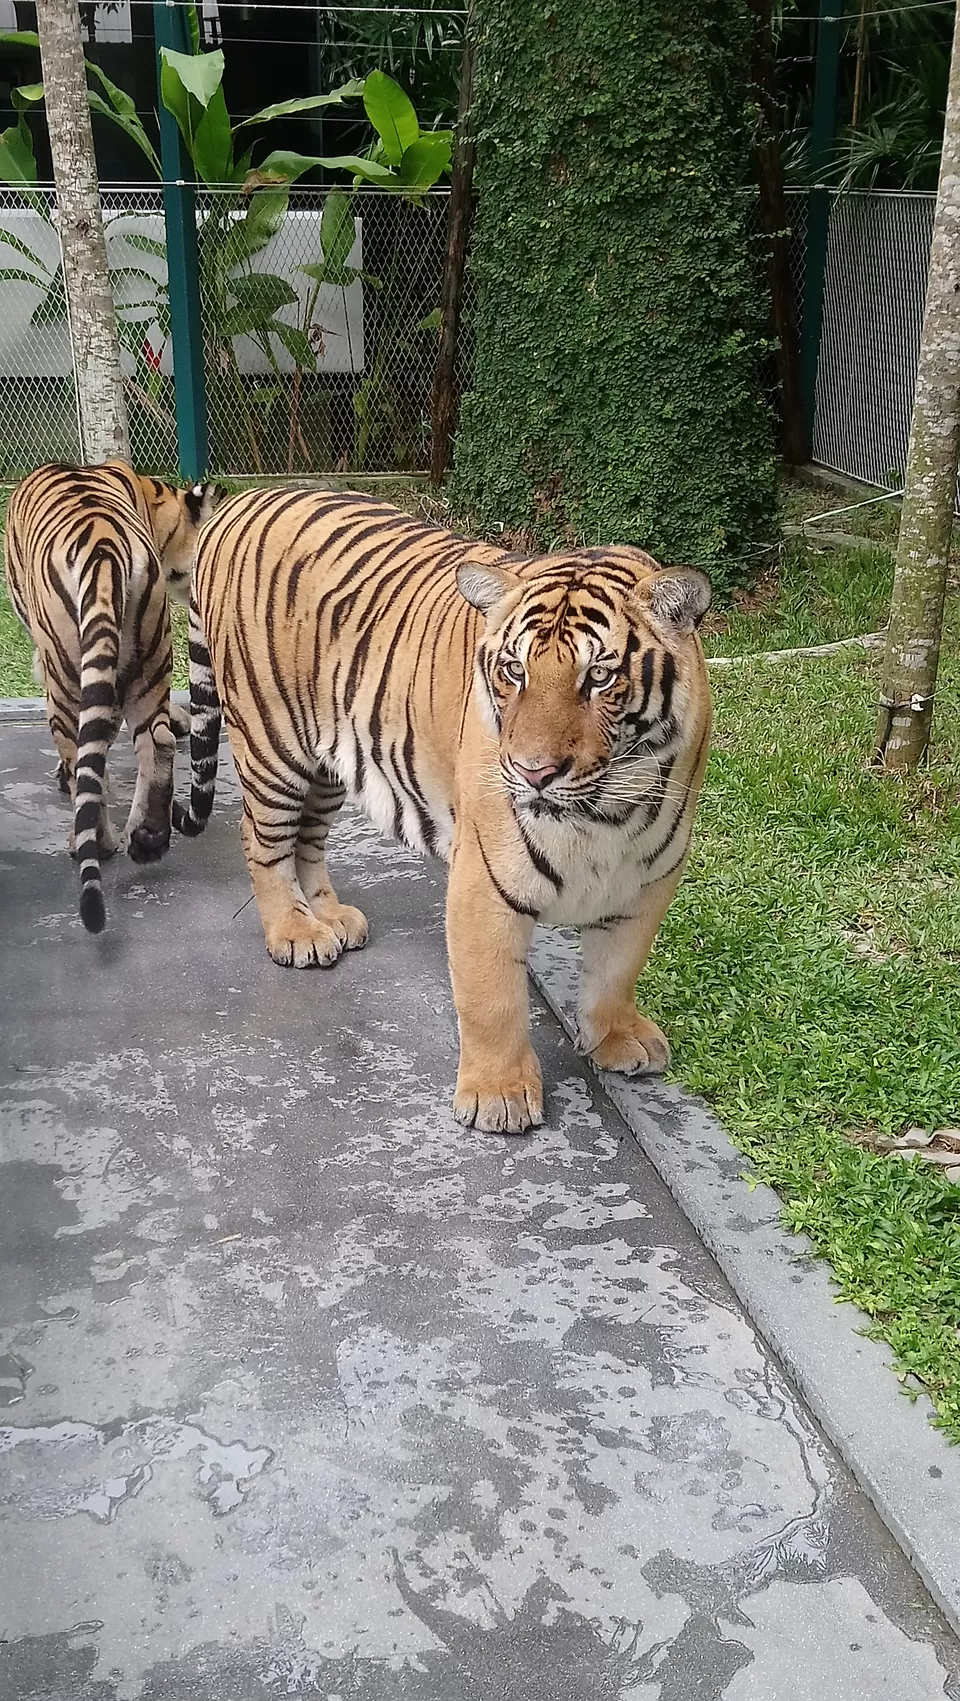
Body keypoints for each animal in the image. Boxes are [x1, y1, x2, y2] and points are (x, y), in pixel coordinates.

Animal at [4, 460, 223, 934]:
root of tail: (102, 546)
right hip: (152, 654)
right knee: (156, 743)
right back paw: (149, 836)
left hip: (65, 677)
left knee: (83, 762)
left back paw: (96, 840)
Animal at [174, 489, 712, 1134]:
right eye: (514, 670)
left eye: (600, 677)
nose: (534, 771)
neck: (607, 813)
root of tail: (241, 498)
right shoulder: (484, 879)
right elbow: (492, 995)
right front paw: (498, 1095)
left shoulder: (649, 879)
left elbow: (616, 969)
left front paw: (616, 1039)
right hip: (271, 741)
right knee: (261, 839)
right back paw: (296, 932)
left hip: (330, 760)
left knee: (307, 838)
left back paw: (329, 918)